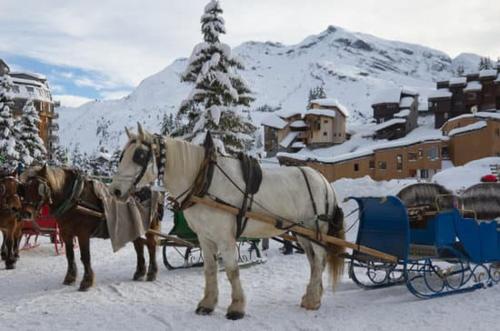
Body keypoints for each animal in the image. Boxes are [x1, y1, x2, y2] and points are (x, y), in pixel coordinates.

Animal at [22, 166, 160, 290]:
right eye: (25, 188)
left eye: (39, 188)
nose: (26, 214)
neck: (74, 198)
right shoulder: (66, 233)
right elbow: (69, 255)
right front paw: (70, 278)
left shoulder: (83, 234)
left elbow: (85, 257)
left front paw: (86, 282)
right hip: (133, 227)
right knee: (139, 246)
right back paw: (140, 272)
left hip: (147, 227)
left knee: (151, 245)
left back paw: (152, 273)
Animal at [109, 124, 344, 320]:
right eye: (122, 156)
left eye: (139, 155)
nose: (115, 191)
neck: (204, 180)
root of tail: (323, 180)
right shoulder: (205, 237)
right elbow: (210, 269)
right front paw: (207, 304)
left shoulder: (226, 238)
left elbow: (232, 271)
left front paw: (236, 308)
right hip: (302, 233)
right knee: (313, 262)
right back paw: (311, 295)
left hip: (315, 230)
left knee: (319, 259)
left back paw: (313, 300)